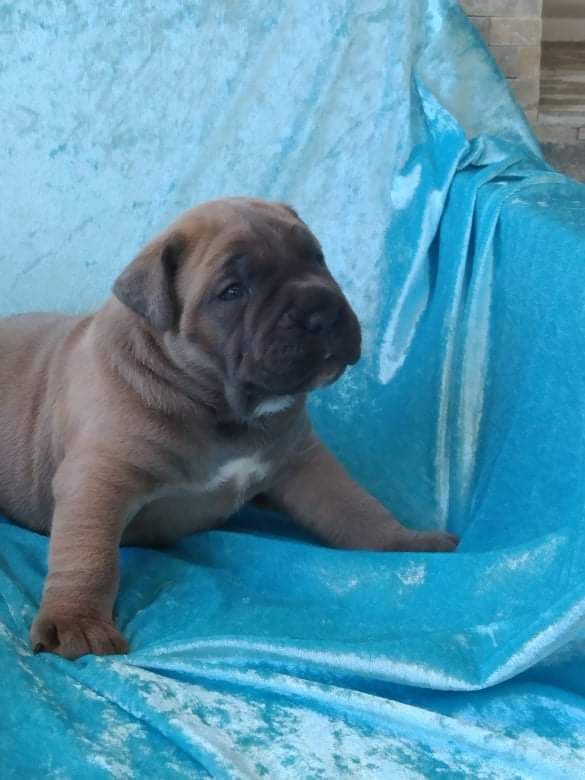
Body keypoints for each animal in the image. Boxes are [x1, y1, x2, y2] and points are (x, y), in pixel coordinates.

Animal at [0, 197, 457, 659]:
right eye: (233, 292)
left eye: (316, 258)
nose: (321, 310)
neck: (224, 409)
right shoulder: (100, 479)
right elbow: (88, 553)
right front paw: (76, 620)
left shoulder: (302, 463)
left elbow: (354, 507)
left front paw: (405, 540)